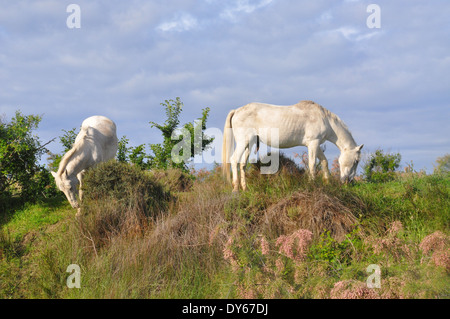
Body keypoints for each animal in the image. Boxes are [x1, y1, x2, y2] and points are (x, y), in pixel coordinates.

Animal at [221, 101, 362, 192]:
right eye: (356, 161)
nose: (349, 181)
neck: (324, 119)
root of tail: (237, 111)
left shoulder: (316, 145)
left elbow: (324, 162)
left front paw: (327, 182)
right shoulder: (313, 143)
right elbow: (312, 164)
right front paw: (312, 184)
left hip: (249, 144)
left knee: (242, 164)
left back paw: (245, 189)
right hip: (243, 142)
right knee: (234, 160)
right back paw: (236, 188)